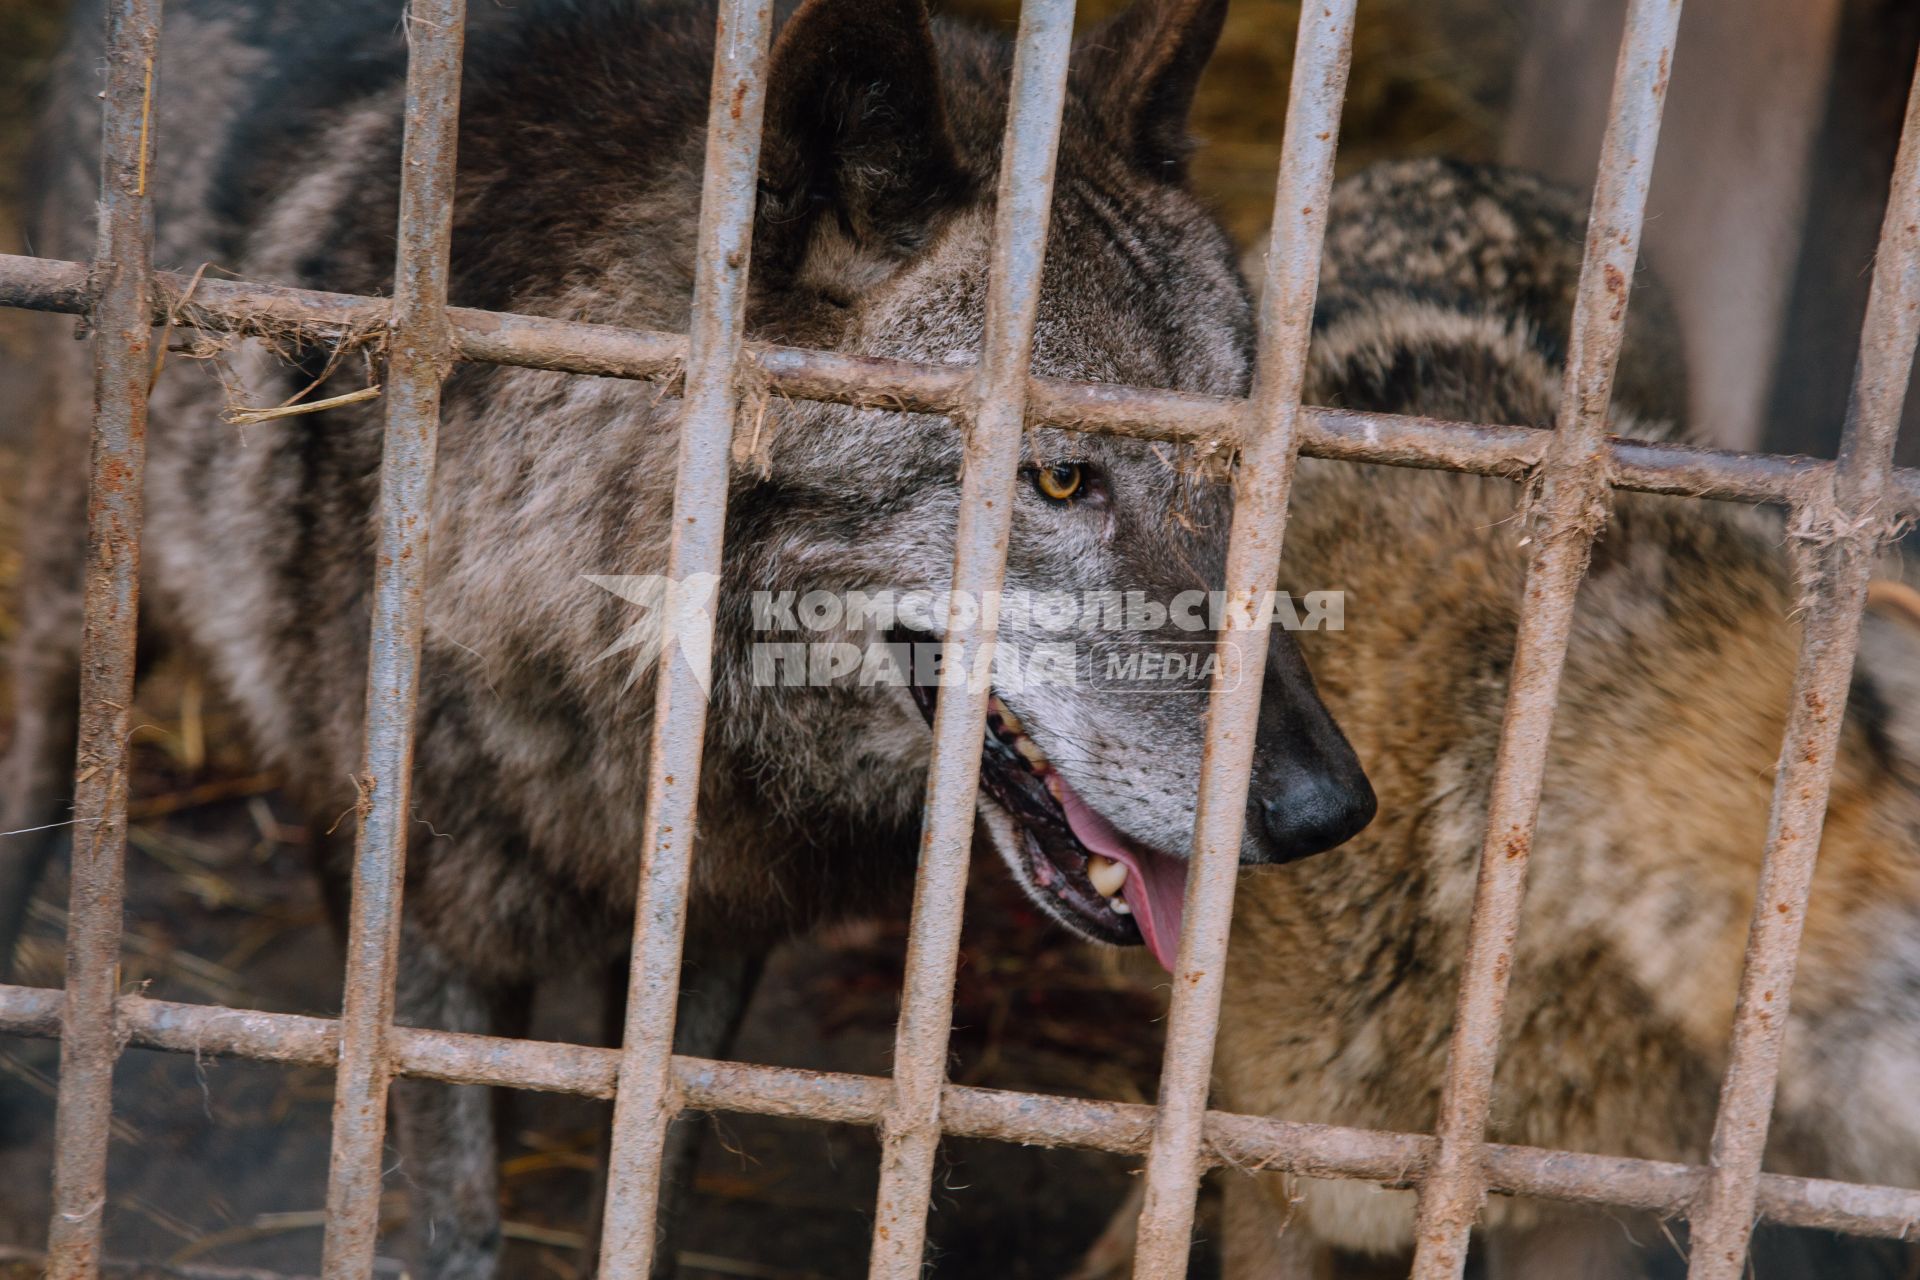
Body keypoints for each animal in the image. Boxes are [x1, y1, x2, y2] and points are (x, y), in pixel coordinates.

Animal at [0, 0, 1382, 1266]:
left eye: (1248, 471)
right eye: (1058, 479)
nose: (1332, 811)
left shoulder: (710, 935)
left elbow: (642, 1176)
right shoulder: (426, 933)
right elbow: (450, 1205)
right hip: (91, 575)